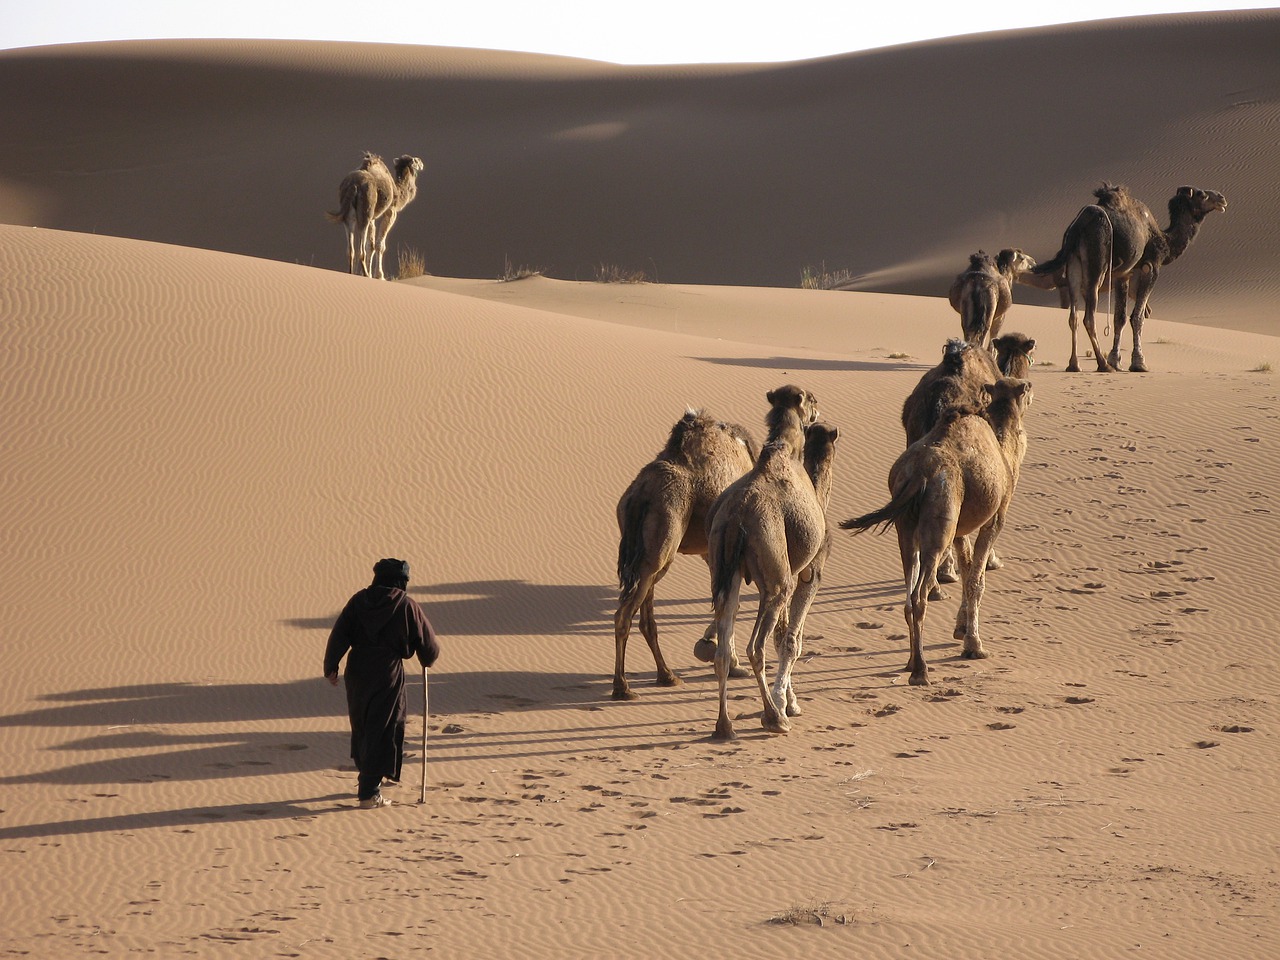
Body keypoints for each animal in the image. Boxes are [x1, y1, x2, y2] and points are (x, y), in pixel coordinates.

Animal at [611, 409, 757, 701]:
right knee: (624, 615)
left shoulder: (711, 552)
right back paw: (622, 687)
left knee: (646, 618)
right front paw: (733, 665)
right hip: (661, 546)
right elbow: (731, 606)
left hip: (648, 555)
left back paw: (666, 676)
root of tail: (639, 495)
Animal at [701, 409, 839, 742]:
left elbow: (782, 637)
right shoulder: (810, 572)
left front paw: (787, 699)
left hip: (725, 569)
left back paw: (724, 726)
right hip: (776, 576)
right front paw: (788, 705)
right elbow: (792, 640)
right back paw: (773, 718)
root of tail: (736, 516)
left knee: (723, 649)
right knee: (756, 646)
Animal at [844, 376, 1034, 686]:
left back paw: (911, 662)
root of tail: (918, 474)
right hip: (940, 519)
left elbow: (967, 572)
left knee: (909, 593)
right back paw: (920, 671)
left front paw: (962, 629)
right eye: (1026, 388)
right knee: (919, 596)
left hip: (906, 528)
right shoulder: (995, 518)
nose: (1030, 386)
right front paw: (974, 646)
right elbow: (976, 580)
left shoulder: (960, 528)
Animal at [1024, 183, 1223, 371]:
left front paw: (1116, 360)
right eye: (1202, 195)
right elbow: (1137, 317)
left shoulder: (1123, 275)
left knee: (1073, 317)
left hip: (1073, 264)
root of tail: (1078, 226)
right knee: (1089, 316)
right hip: (1098, 261)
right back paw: (1102, 364)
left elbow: (1119, 318)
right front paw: (1138, 363)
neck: (1164, 240)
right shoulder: (1150, 267)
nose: (1222, 198)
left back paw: (1074, 365)